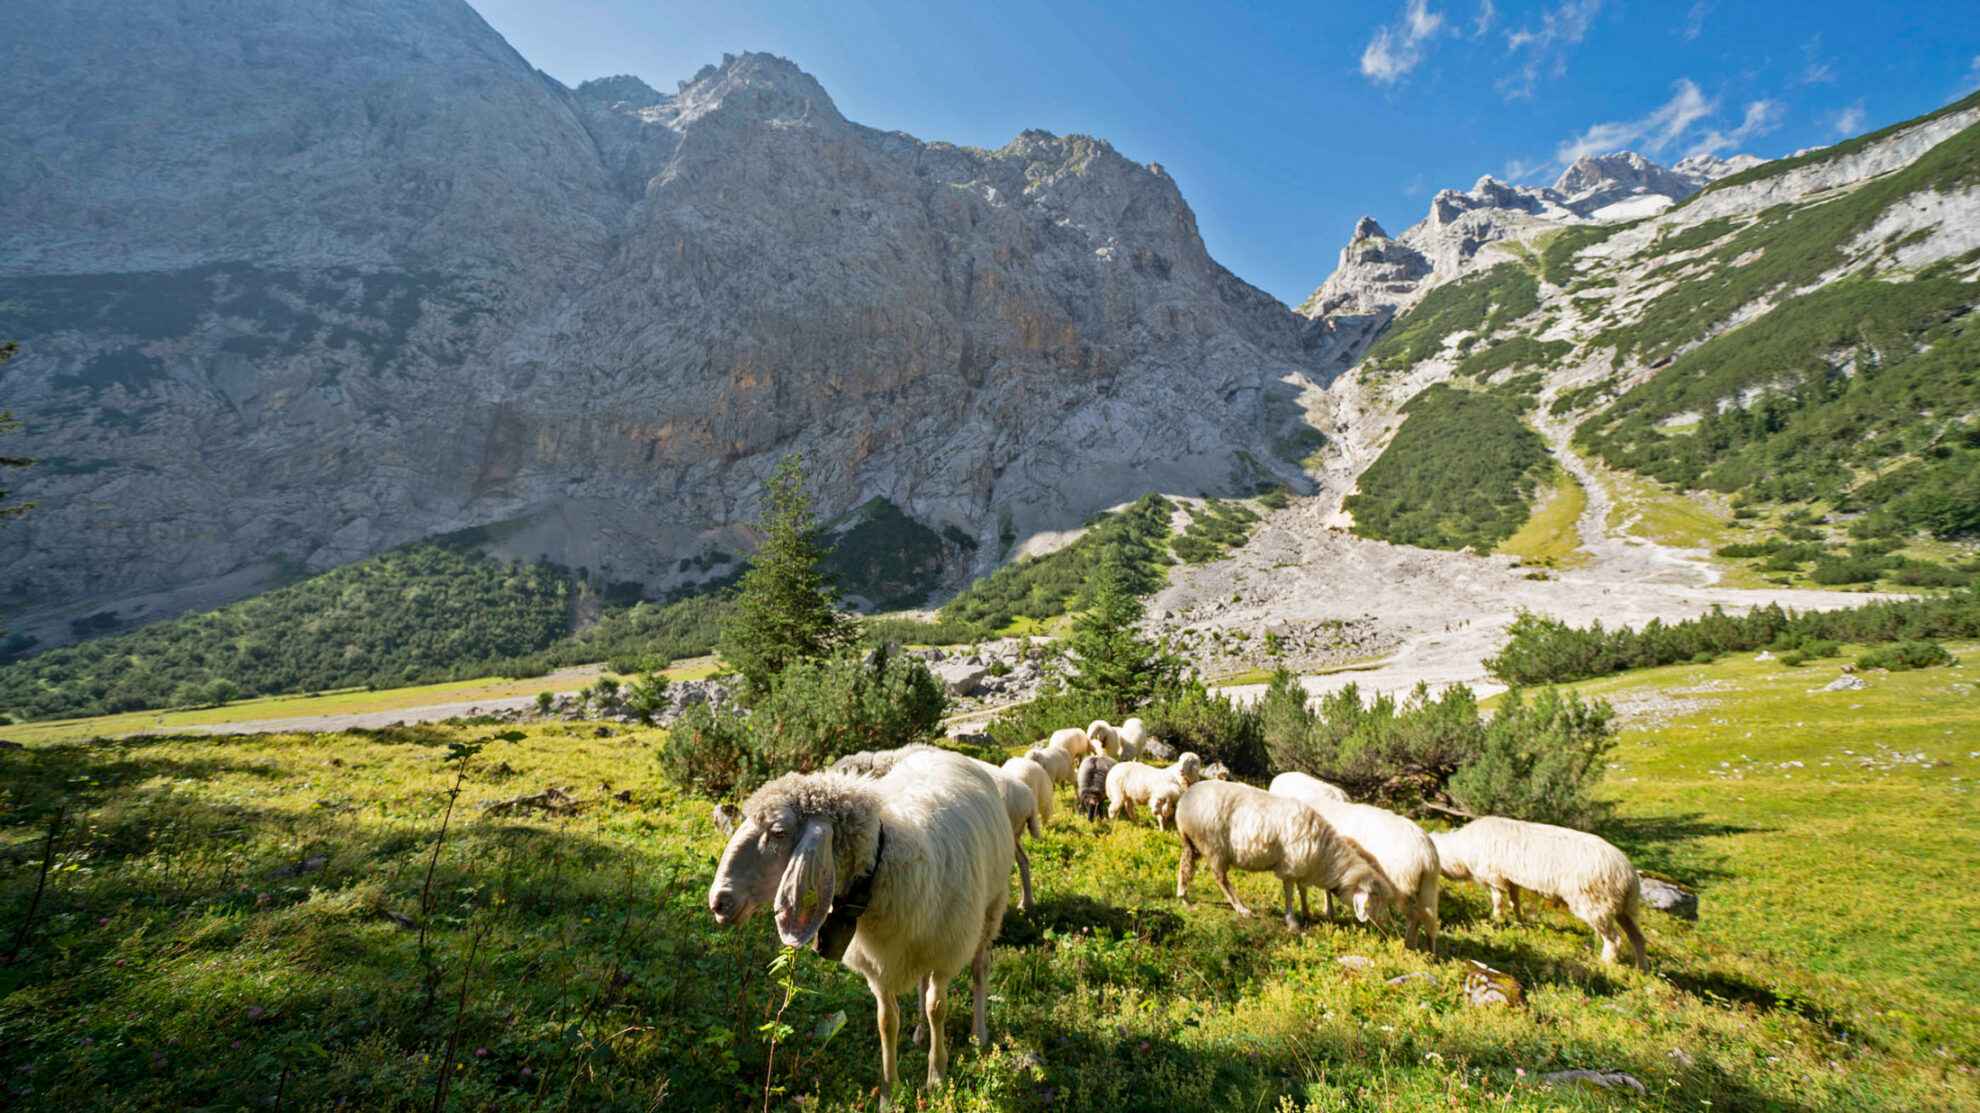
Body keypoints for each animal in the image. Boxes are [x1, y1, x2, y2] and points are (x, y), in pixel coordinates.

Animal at [712, 744, 1013, 1093]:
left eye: (778, 832)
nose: (718, 901)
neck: (881, 863)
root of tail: (940, 751)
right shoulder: (878, 966)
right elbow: (887, 1021)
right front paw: (890, 1091)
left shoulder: (946, 952)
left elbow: (937, 1007)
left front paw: (937, 1078)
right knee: (922, 981)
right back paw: (921, 1033)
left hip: (991, 905)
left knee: (980, 966)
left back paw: (978, 1034)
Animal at [1164, 780, 1401, 926]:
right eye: (1376, 899)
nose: (1386, 921)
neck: (1324, 857)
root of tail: (1183, 802)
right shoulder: (1290, 865)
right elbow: (1289, 891)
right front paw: (1292, 921)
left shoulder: (1302, 867)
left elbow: (1302, 890)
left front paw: (1306, 913)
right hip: (1214, 846)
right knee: (1220, 878)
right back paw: (1241, 908)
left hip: (1191, 841)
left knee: (1185, 867)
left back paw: (1184, 896)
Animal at [1267, 772, 1441, 942]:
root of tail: (1427, 854)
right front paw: (1328, 911)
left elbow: (1305, 888)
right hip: (1427, 887)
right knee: (1429, 921)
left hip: (1398, 887)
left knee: (1413, 916)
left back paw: (1400, 942)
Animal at [1433, 811, 1647, 966]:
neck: (1459, 852)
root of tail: (1628, 874)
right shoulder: (1512, 881)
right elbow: (1515, 904)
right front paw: (1522, 928)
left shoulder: (1495, 878)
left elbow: (1498, 904)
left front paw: (1495, 925)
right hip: (1620, 906)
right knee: (1637, 937)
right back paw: (1641, 971)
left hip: (1596, 903)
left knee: (1614, 939)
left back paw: (1605, 964)